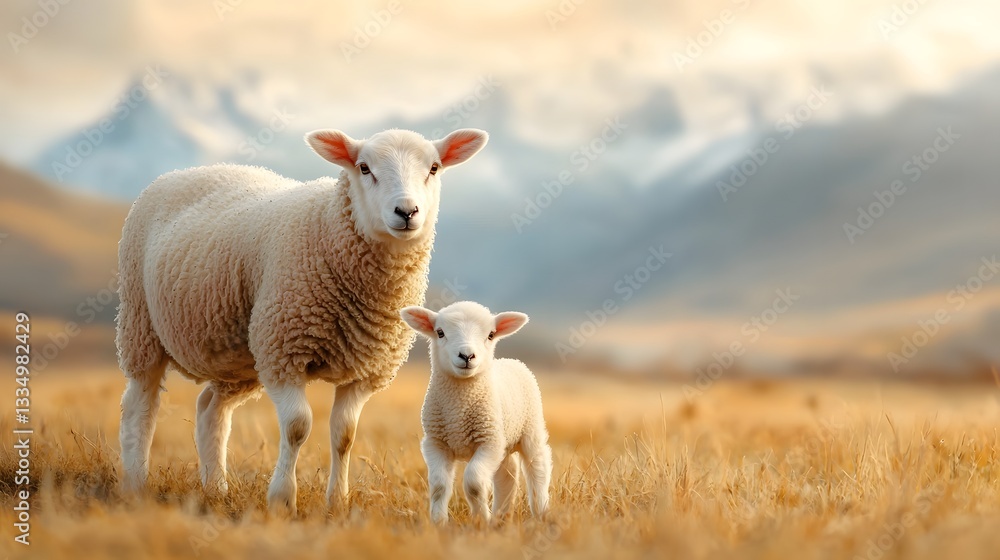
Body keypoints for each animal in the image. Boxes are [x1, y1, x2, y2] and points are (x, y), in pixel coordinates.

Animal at [116, 128, 489, 515]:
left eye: (434, 167)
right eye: (364, 167)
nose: (406, 211)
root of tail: (187, 171)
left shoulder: (364, 370)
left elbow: (344, 435)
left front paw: (337, 502)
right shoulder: (284, 352)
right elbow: (297, 426)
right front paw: (282, 498)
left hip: (242, 355)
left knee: (210, 410)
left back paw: (216, 489)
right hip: (141, 322)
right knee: (140, 405)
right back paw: (135, 484)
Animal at [400, 301, 552, 525]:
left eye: (490, 335)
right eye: (440, 332)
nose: (466, 356)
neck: (458, 409)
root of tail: (512, 360)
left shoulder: (489, 441)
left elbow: (474, 482)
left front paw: (481, 520)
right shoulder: (436, 443)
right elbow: (439, 485)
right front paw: (438, 522)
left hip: (530, 429)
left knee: (538, 467)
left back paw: (540, 512)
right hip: (504, 441)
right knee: (508, 473)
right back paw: (501, 516)